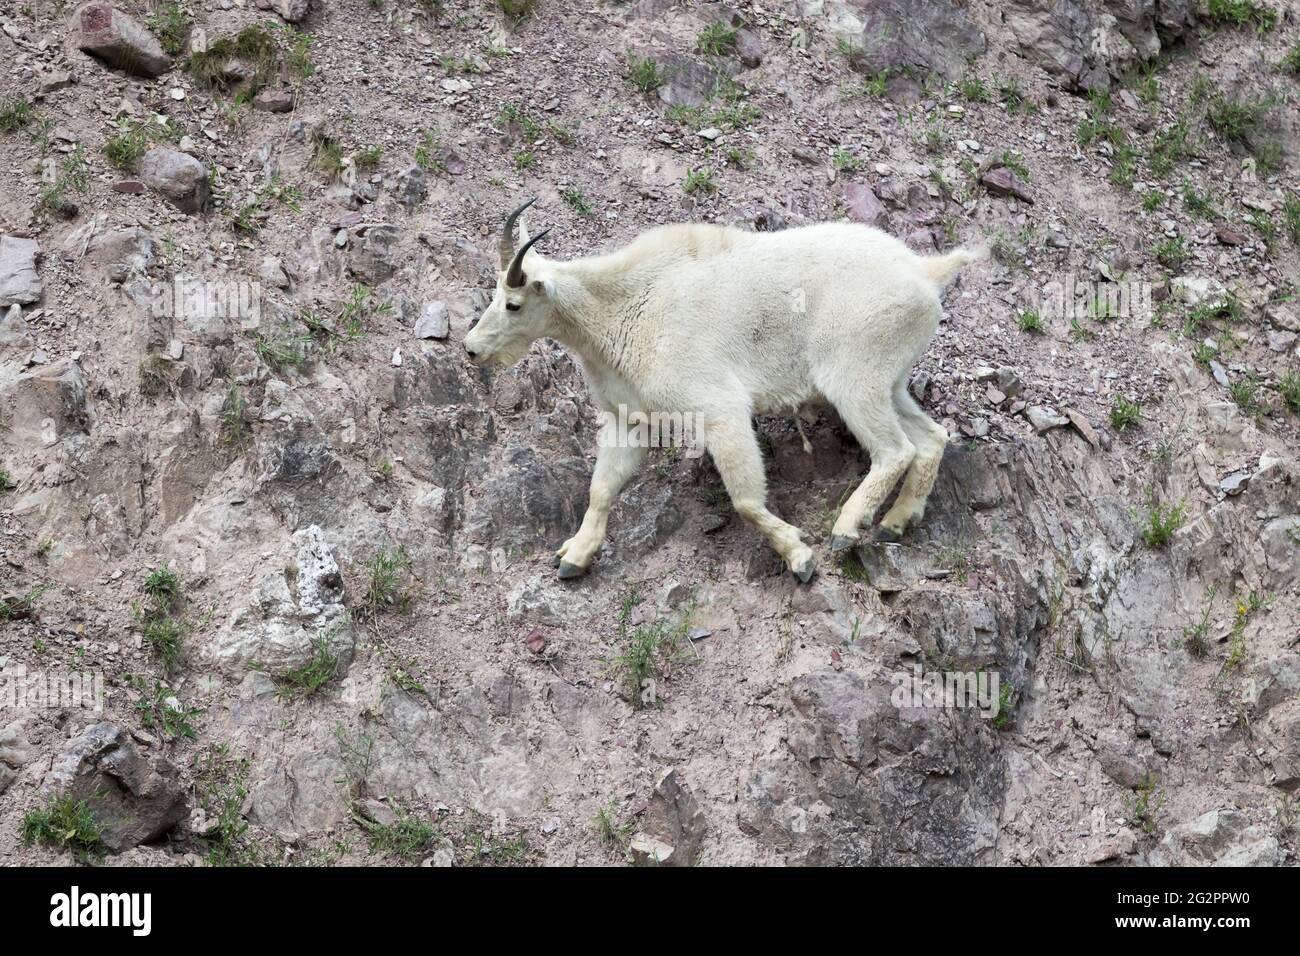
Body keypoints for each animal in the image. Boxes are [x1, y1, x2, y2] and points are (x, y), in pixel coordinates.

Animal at [462, 197, 977, 580]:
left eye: (512, 304)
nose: (471, 349)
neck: (619, 311)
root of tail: (926, 273)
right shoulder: (629, 417)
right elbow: (601, 487)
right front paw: (574, 556)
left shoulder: (717, 407)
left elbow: (746, 499)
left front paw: (798, 556)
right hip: (891, 378)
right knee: (931, 437)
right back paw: (899, 520)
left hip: (854, 374)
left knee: (894, 449)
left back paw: (848, 529)